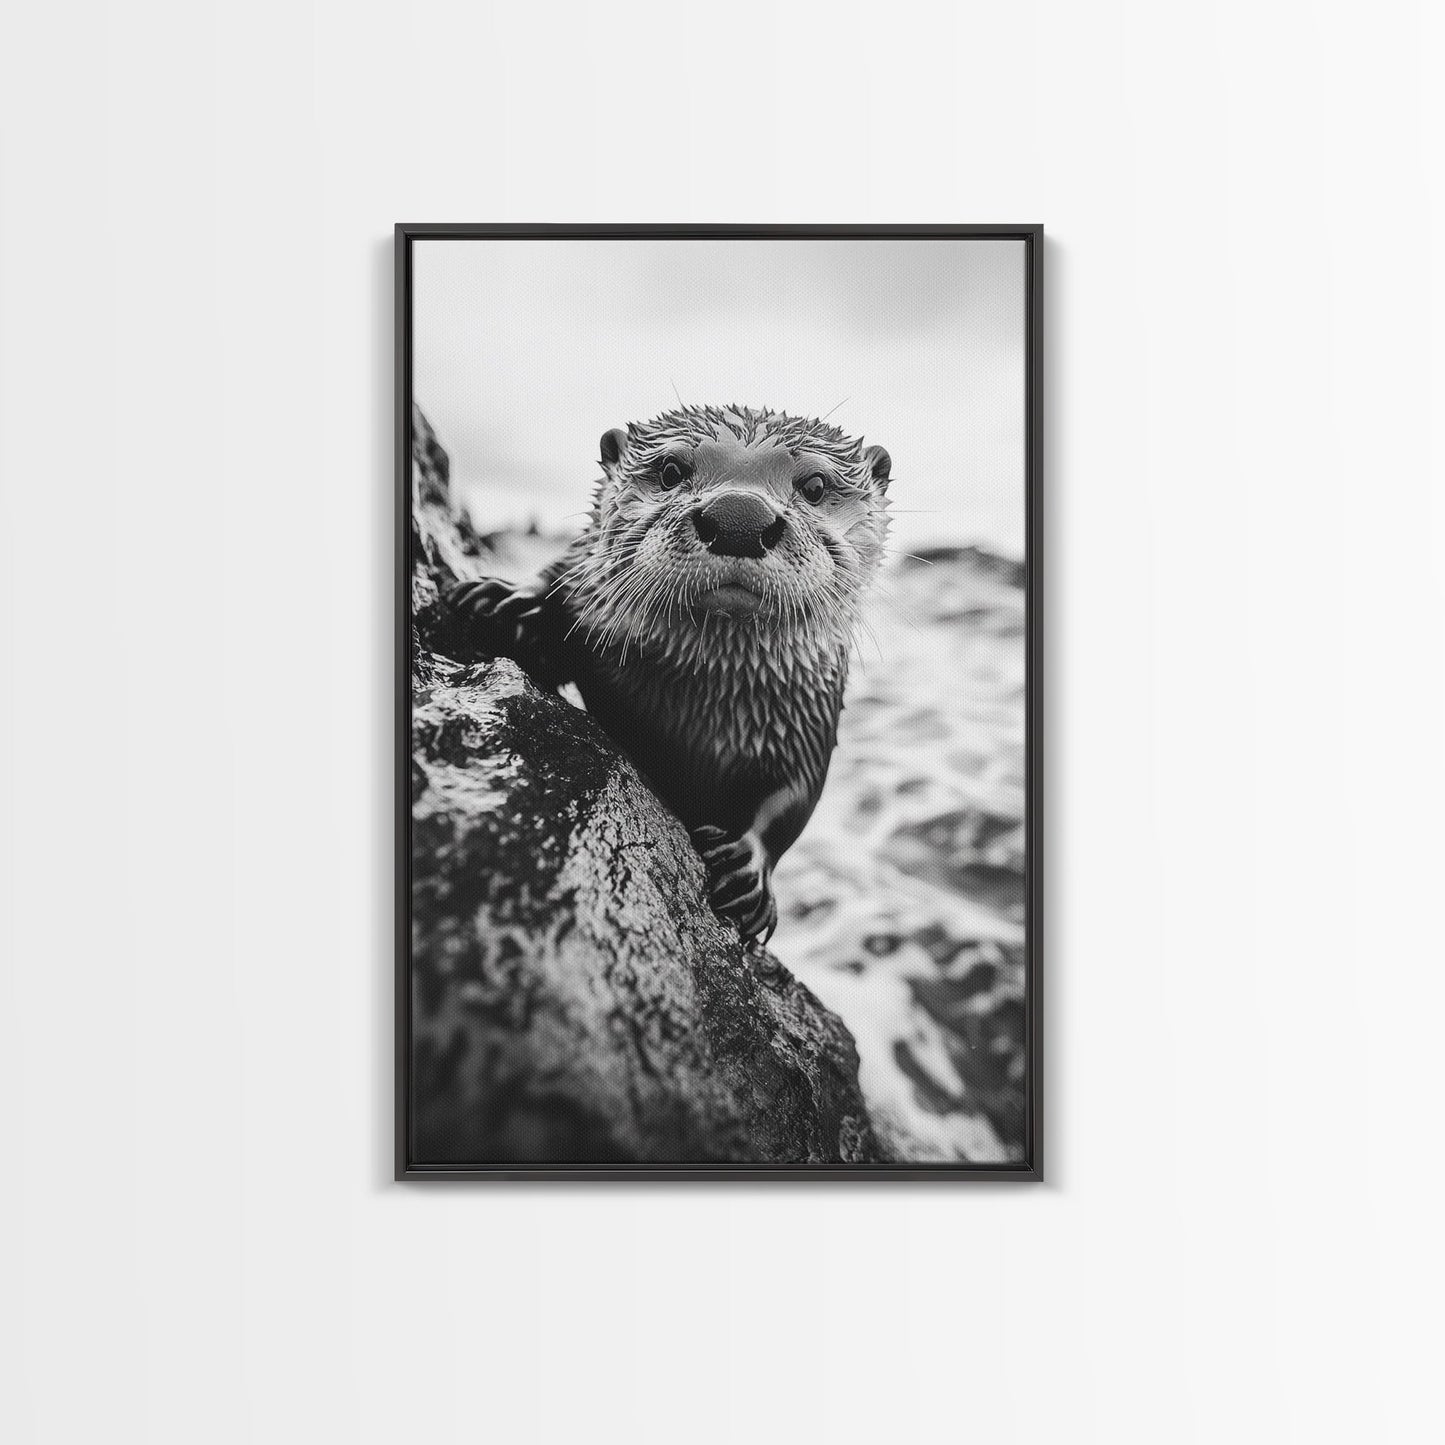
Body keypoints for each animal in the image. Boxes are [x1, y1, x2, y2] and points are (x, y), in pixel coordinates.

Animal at [445, 404, 892, 943]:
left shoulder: (809, 715)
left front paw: (747, 871)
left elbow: (793, 798)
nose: (739, 518)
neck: (698, 704)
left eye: (815, 485)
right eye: (671, 470)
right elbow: (560, 579)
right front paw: (508, 601)